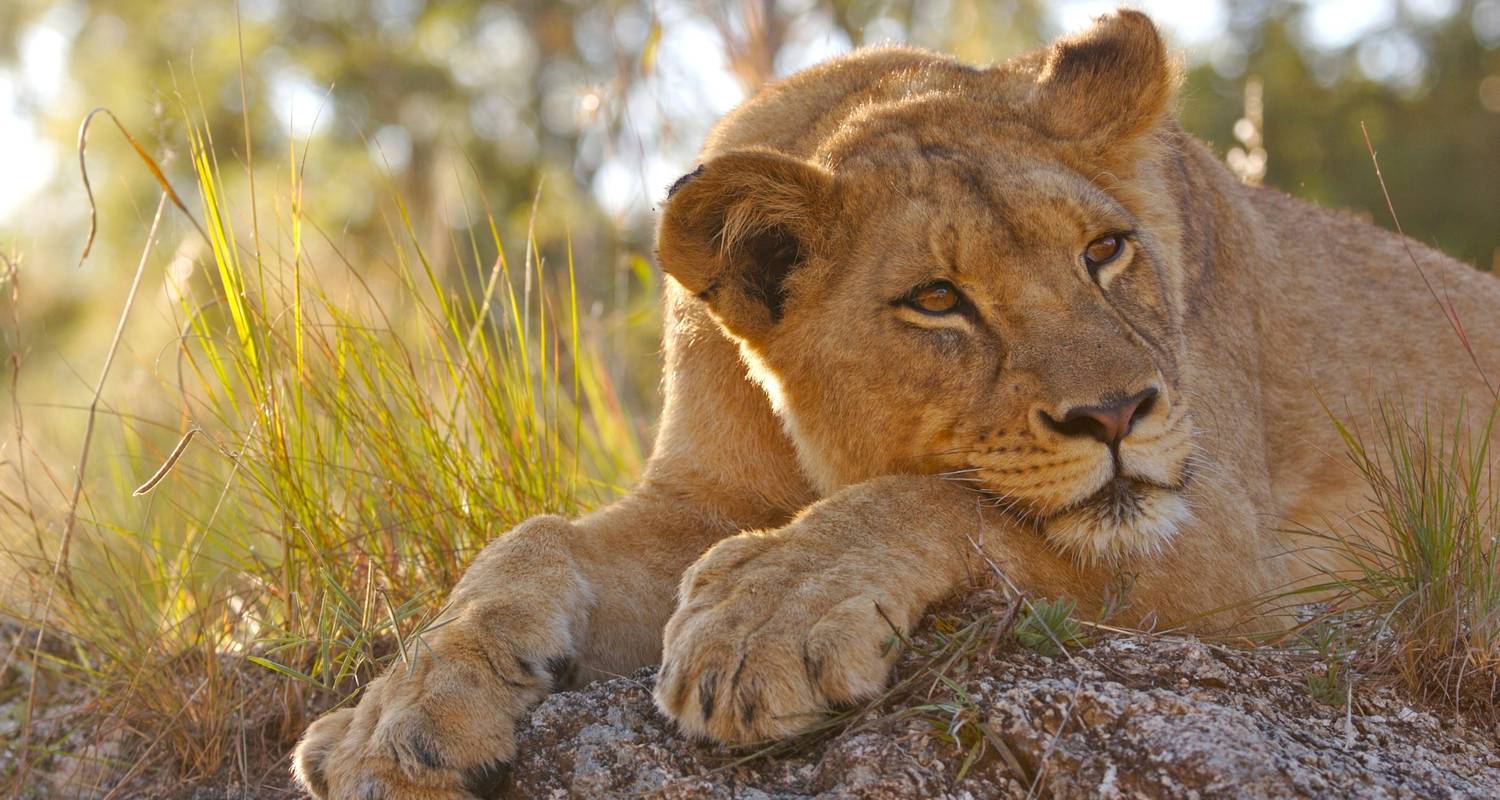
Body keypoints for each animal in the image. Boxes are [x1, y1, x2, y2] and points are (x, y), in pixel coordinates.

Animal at [289, 12, 1500, 798]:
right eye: (936, 301)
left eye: (1106, 250)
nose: (1119, 412)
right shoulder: (699, 492)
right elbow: (530, 540)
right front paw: (395, 716)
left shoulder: (1239, 564)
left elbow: (946, 501)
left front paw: (769, 614)